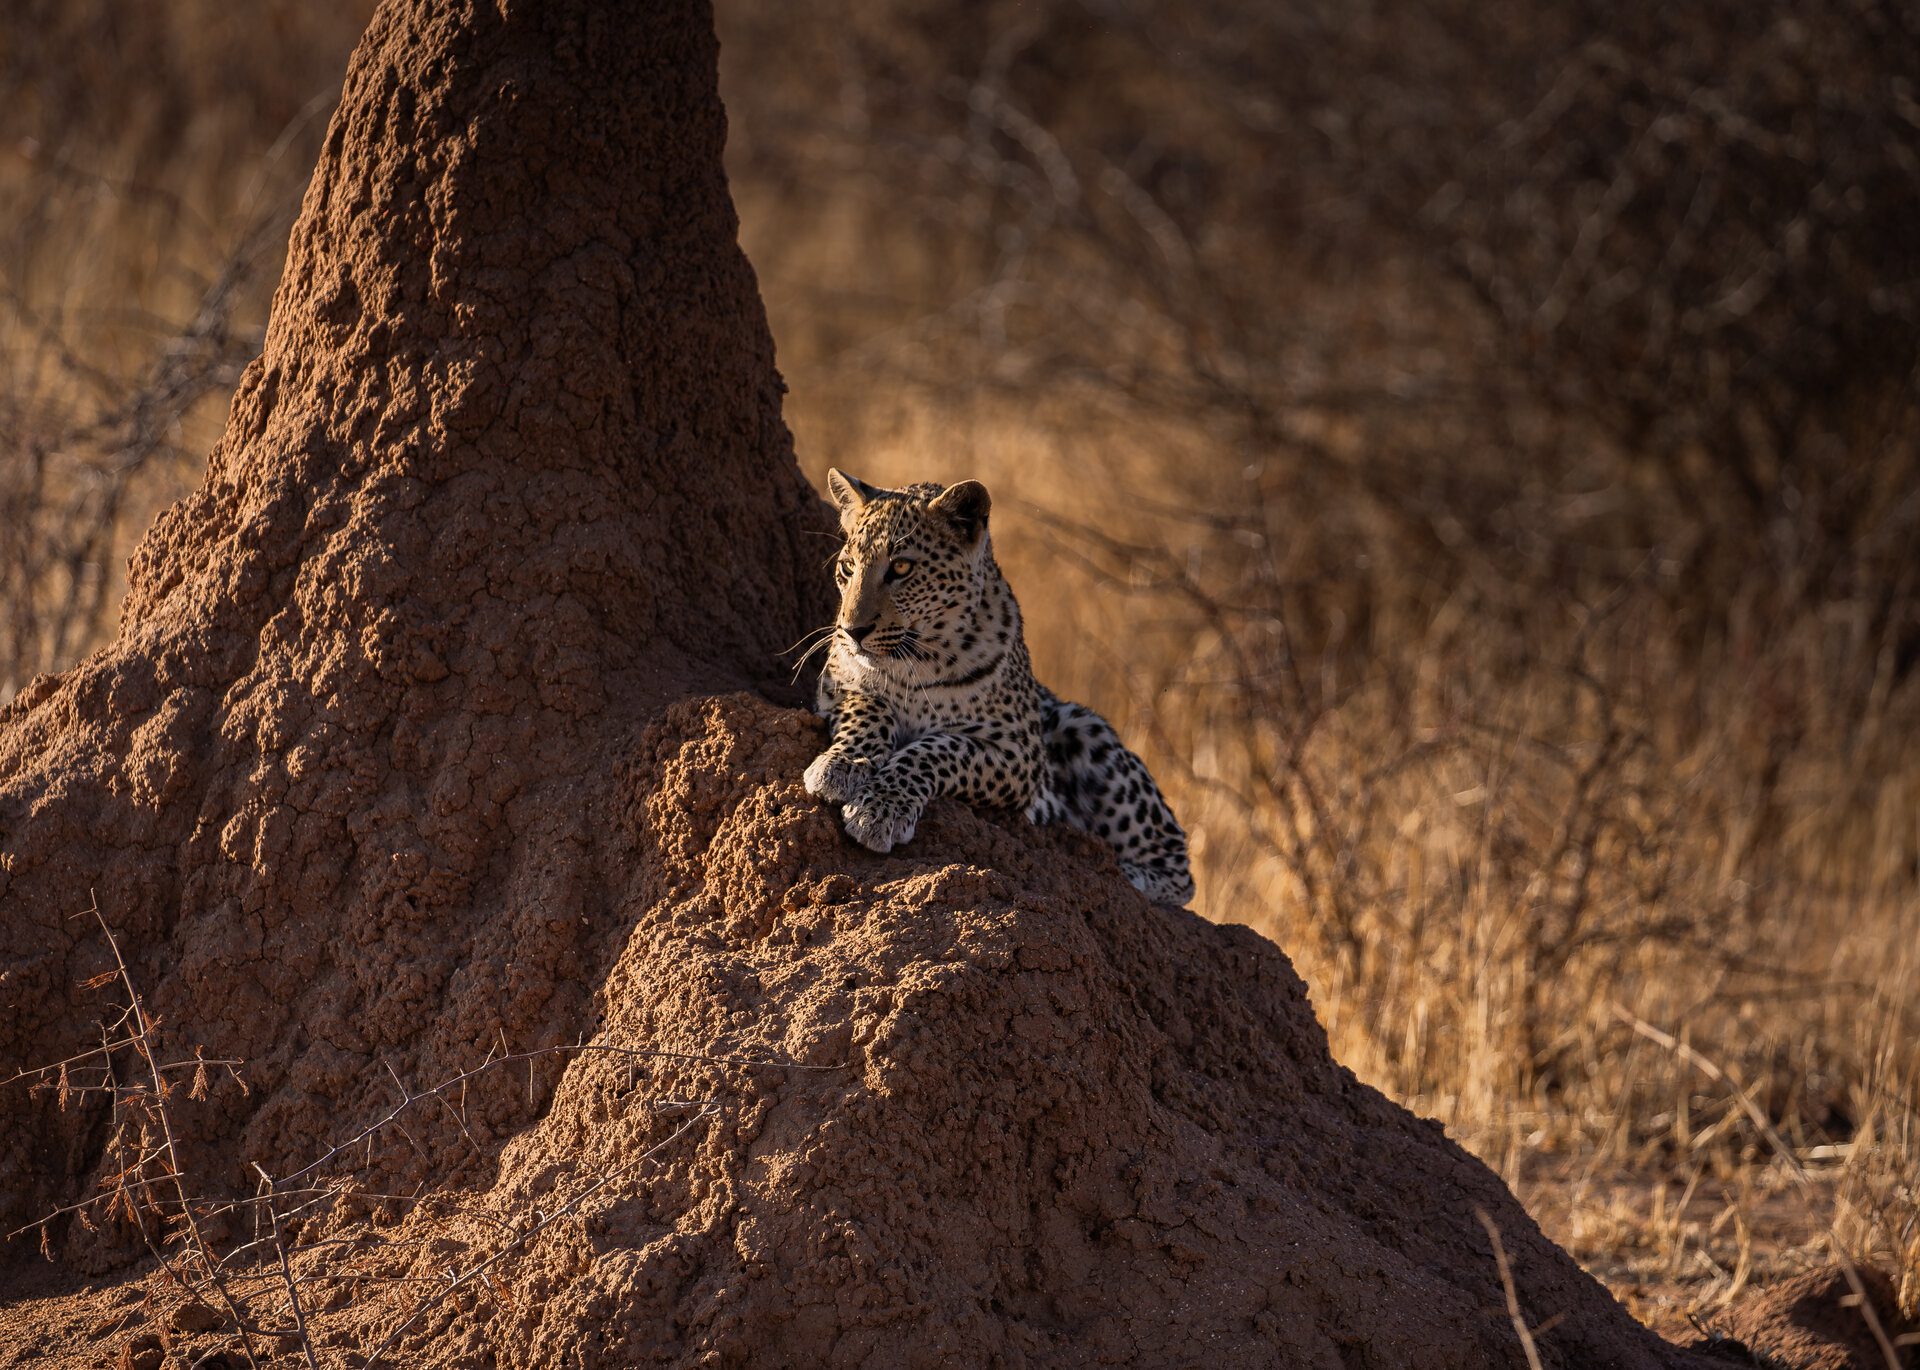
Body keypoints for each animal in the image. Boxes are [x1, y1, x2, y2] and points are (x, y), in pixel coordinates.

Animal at [798, 464, 1190, 901]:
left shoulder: (1018, 753)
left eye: (901, 568)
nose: (853, 631)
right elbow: (869, 708)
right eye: (848, 568)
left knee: (1179, 863)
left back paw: (1129, 877)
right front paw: (841, 766)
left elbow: (936, 749)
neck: (916, 661)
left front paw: (879, 809)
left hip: (1087, 730)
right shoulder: (833, 687)